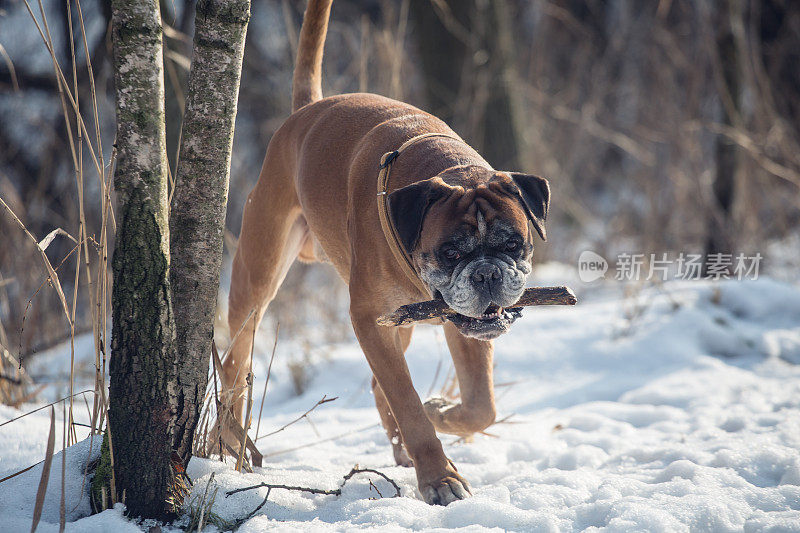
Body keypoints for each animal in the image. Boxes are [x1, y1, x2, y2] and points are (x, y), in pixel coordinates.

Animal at [223, 0, 552, 502]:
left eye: (514, 244)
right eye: (450, 253)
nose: (487, 274)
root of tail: (306, 112)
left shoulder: (461, 327)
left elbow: (481, 405)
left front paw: (441, 413)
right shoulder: (369, 321)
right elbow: (408, 404)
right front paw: (438, 476)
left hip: (402, 324)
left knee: (383, 389)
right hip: (258, 277)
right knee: (233, 361)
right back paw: (228, 444)